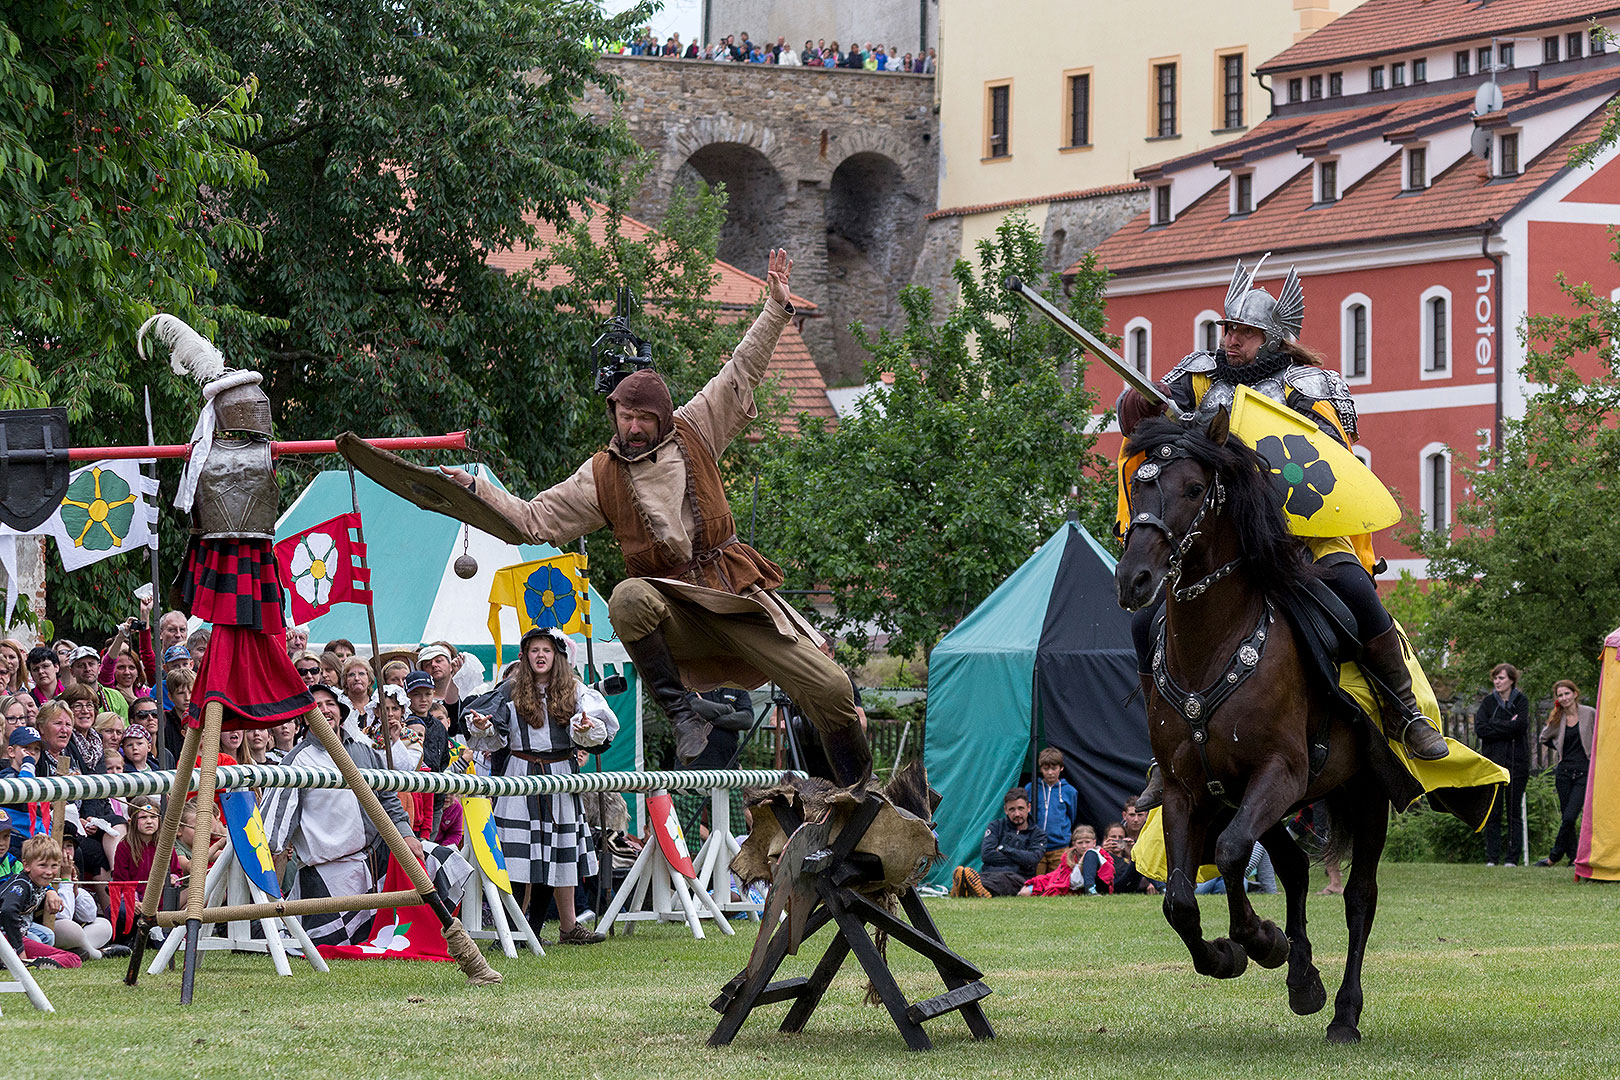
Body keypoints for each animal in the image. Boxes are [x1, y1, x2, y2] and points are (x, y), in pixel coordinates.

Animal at [1114, 409, 1393, 1042]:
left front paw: (1261, 941)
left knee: (1358, 897)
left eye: (1195, 489)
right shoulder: (1187, 789)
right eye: (1137, 485)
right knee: (1292, 867)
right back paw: (1304, 978)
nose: (1135, 579)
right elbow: (1180, 898)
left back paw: (1344, 1011)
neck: (1214, 646)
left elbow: (1232, 851)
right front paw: (1230, 954)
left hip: (1365, 792)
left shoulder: (1280, 772)